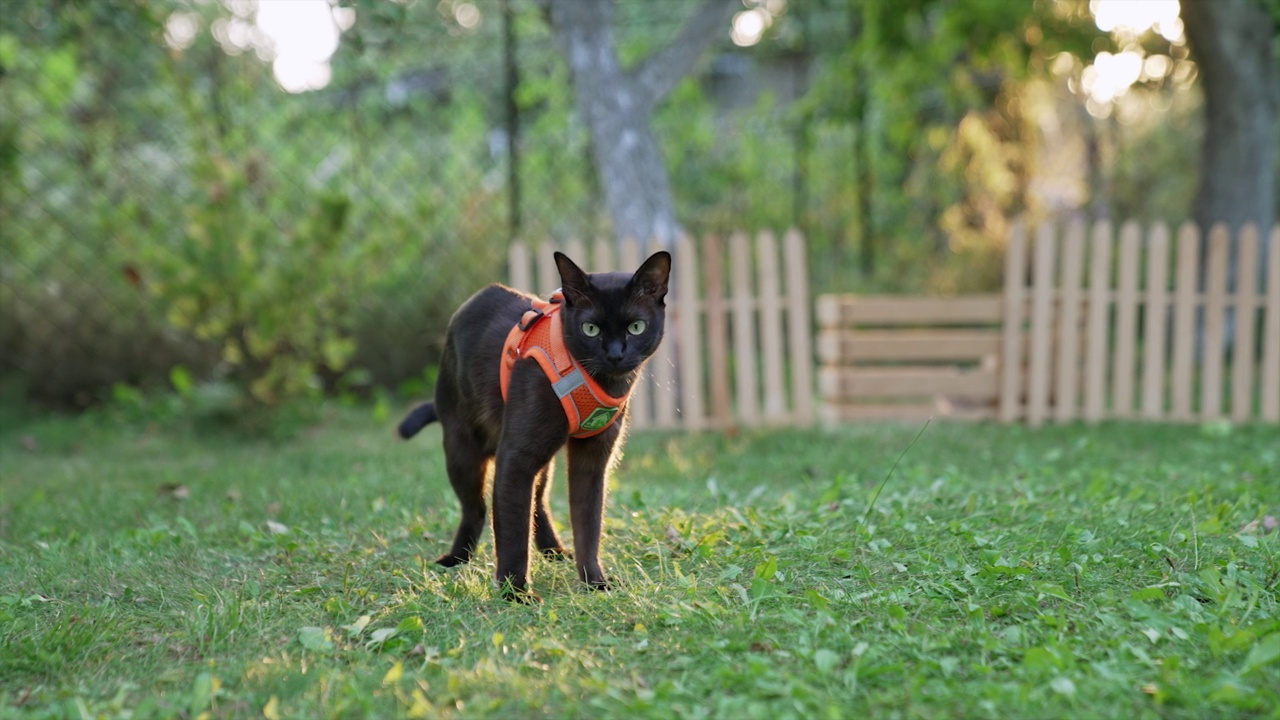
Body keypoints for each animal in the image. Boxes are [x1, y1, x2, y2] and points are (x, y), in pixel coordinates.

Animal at [401, 249, 675, 597]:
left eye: (636, 327)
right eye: (590, 329)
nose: (615, 355)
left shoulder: (592, 462)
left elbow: (588, 524)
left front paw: (594, 582)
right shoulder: (516, 456)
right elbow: (513, 529)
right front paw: (515, 593)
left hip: (542, 457)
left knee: (538, 501)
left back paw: (553, 550)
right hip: (462, 446)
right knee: (476, 508)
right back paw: (457, 559)